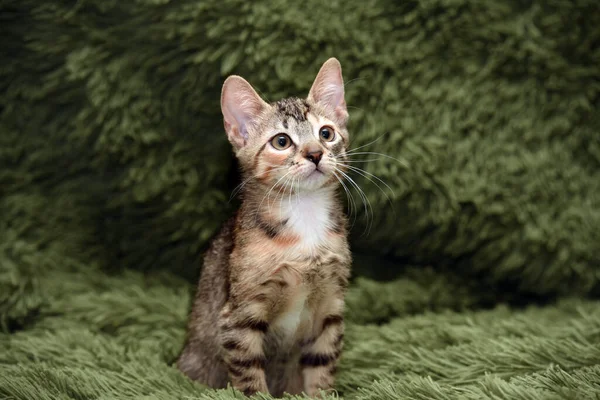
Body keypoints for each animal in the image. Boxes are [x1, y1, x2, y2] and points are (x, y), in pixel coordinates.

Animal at [177, 57, 352, 398]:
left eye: (326, 133)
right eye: (281, 141)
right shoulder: (240, 316)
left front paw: (320, 392)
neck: (305, 216)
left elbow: (322, 369)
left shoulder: (330, 306)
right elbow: (250, 378)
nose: (315, 154)